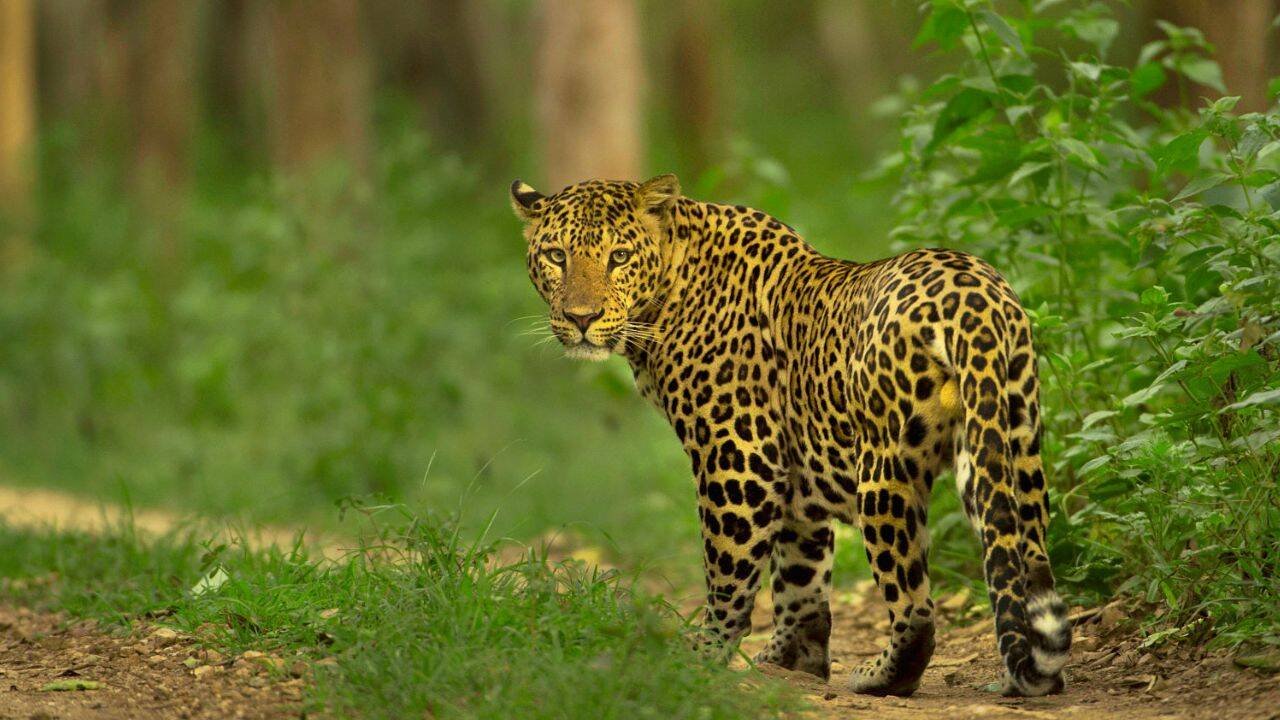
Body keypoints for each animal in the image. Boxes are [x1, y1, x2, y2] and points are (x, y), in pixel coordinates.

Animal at [509, 174, 1071, 697]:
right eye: (557, 256)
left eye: (619, 257)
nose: (582, 318)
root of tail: (975, 299)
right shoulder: (799, 472)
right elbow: (801, 573)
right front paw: (793, 661)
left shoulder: (739, 457)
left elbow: (729, 569)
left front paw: (704, 656)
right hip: (1010, 444)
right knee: (1024, 559)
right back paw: (1032, 674)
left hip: (885, 470)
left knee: (915, 606)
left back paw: (882, 676)